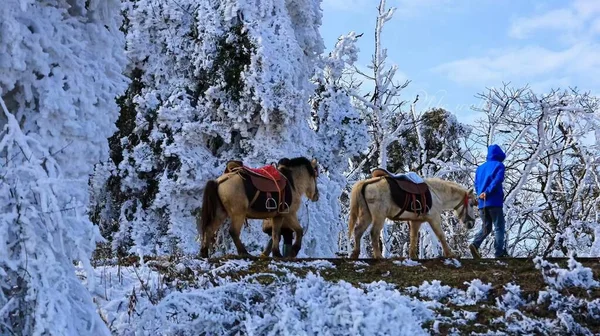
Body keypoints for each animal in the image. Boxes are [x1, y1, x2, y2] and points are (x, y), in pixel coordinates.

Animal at [346, 176, 478, 260]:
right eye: (471, 204)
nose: (471, 223)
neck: (436, 194)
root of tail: (367, 183)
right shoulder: (434, 219)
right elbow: (441, 235)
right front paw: (450, 254)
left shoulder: (416, 221)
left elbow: (413, 237)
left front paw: (413, 256)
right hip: (379, 217)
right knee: (374, 233)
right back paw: (378, 256)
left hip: (366, 215)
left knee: (358, 231)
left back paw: (355, 254)